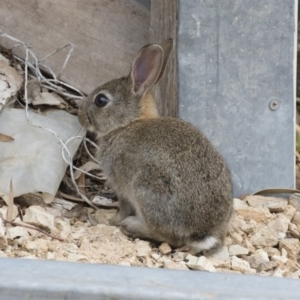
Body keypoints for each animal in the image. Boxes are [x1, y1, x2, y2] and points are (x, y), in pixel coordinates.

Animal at [78, 39, 233, 254]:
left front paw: (111, 221)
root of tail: (203, 232)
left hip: (147, 189)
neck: (128, 124)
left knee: (169, 236)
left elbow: (123, 207)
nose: (80, 115)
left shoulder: (122, 187)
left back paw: (132, 225)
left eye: (101, 100)